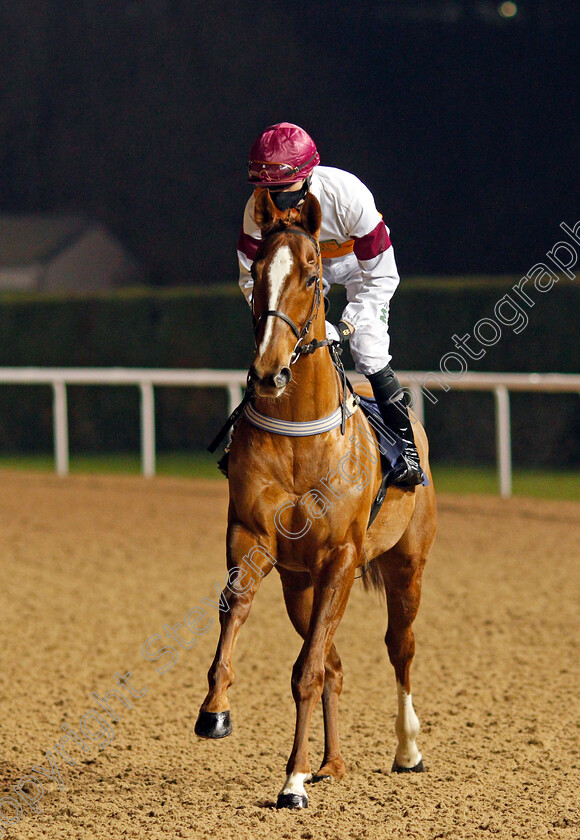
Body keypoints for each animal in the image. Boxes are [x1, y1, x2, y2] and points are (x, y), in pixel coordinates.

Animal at [195, 189, 436, 808]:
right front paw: (216, 711)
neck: (301, 435)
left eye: (310, 274)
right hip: (298, 587)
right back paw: (329, 763)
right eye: (257, 272)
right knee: (333, 662)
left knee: (400, 647)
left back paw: (407, 750)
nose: (268, 372)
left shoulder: (341, 559)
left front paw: (291, 783)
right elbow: (238, 618)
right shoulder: (252, 541)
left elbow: (305, 672)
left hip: (406, 566)